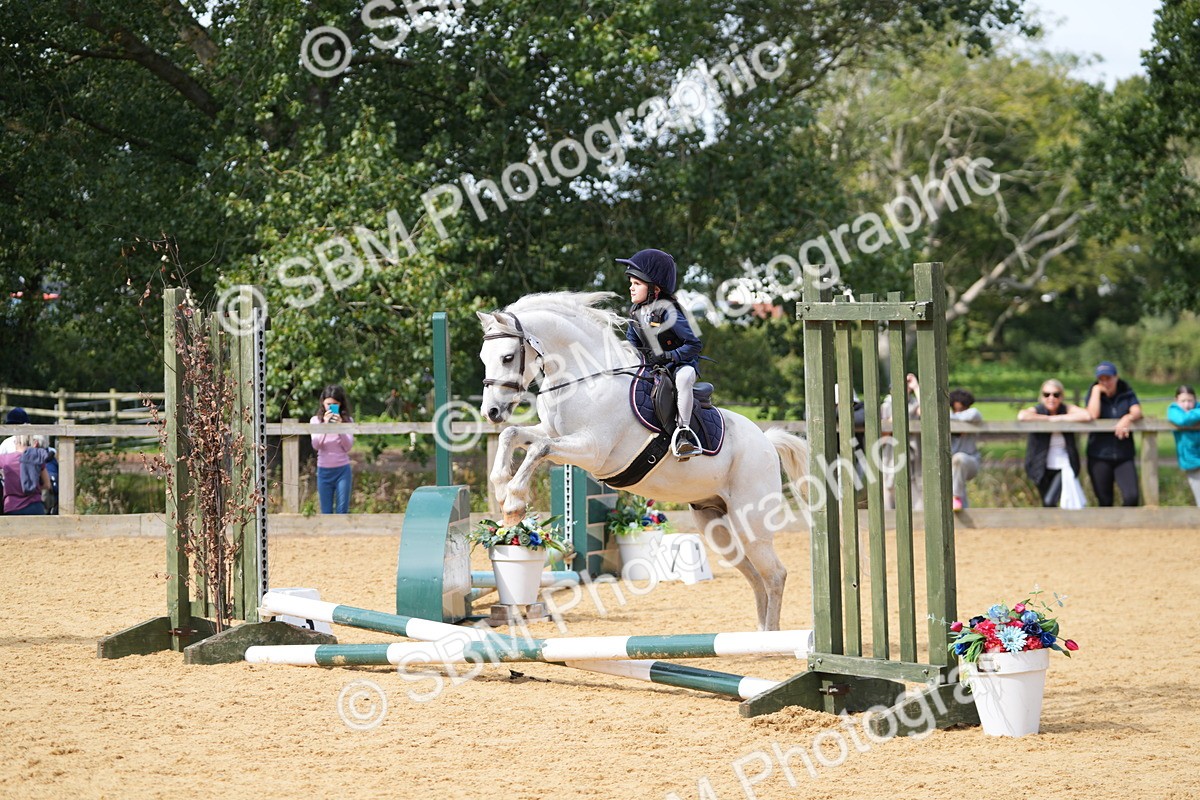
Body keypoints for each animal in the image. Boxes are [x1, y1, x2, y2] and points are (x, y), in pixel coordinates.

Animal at [476, 291, 809, 631]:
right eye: (483, 357)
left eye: (507, 357)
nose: (491, 412)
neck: (584, 380)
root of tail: (766, 442)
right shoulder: (554, 433)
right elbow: (512, 436)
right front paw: (502, 492)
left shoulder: (592, 450)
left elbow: (539, 449)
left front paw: (514, 502)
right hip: (715, 525)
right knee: (755, 576)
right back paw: (761, 634)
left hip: (750, 521)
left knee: (775, 574)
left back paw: (771, 634)